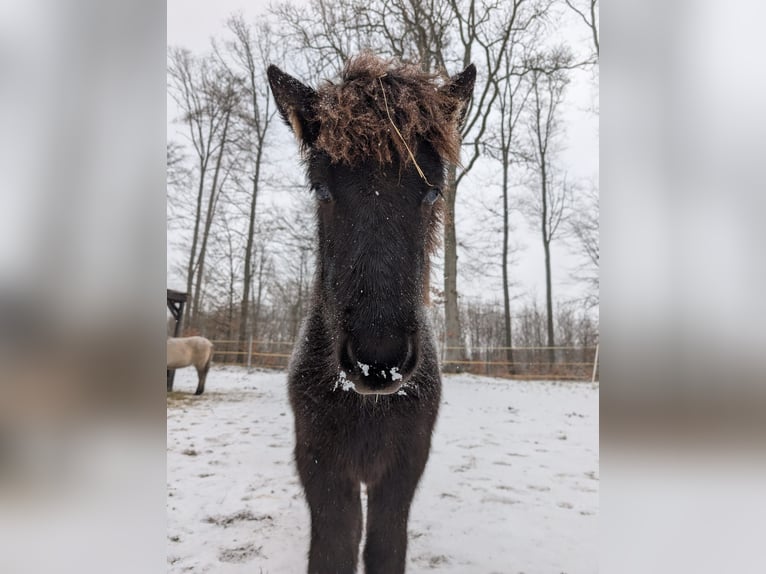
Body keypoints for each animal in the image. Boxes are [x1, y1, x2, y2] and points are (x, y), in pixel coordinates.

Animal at [267, 53, 475, 574]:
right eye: (320, 189)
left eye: (433, 191)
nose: (377, 361)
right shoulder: (322, 469)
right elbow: (335, 549)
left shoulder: (401, 472)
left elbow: (383, 548)